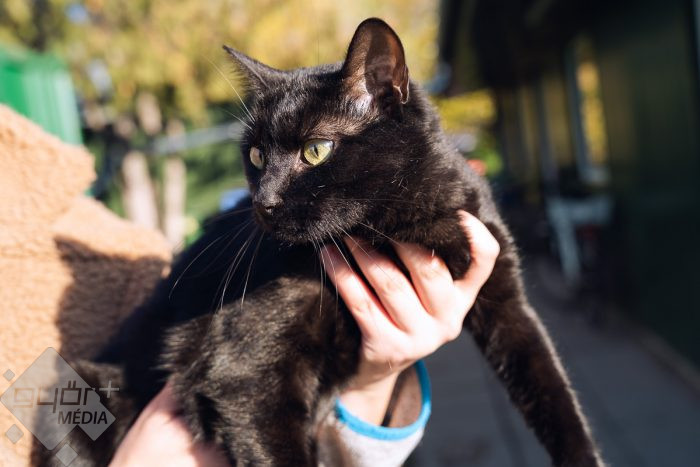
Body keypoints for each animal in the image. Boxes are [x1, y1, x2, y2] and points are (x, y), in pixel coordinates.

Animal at [35, 18, 602, 467]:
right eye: (257, 156)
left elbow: (551, 387)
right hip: (74, 392)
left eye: (316, 150)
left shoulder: (505, 297)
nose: (262, 202)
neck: (394, 228)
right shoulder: (246, 381)